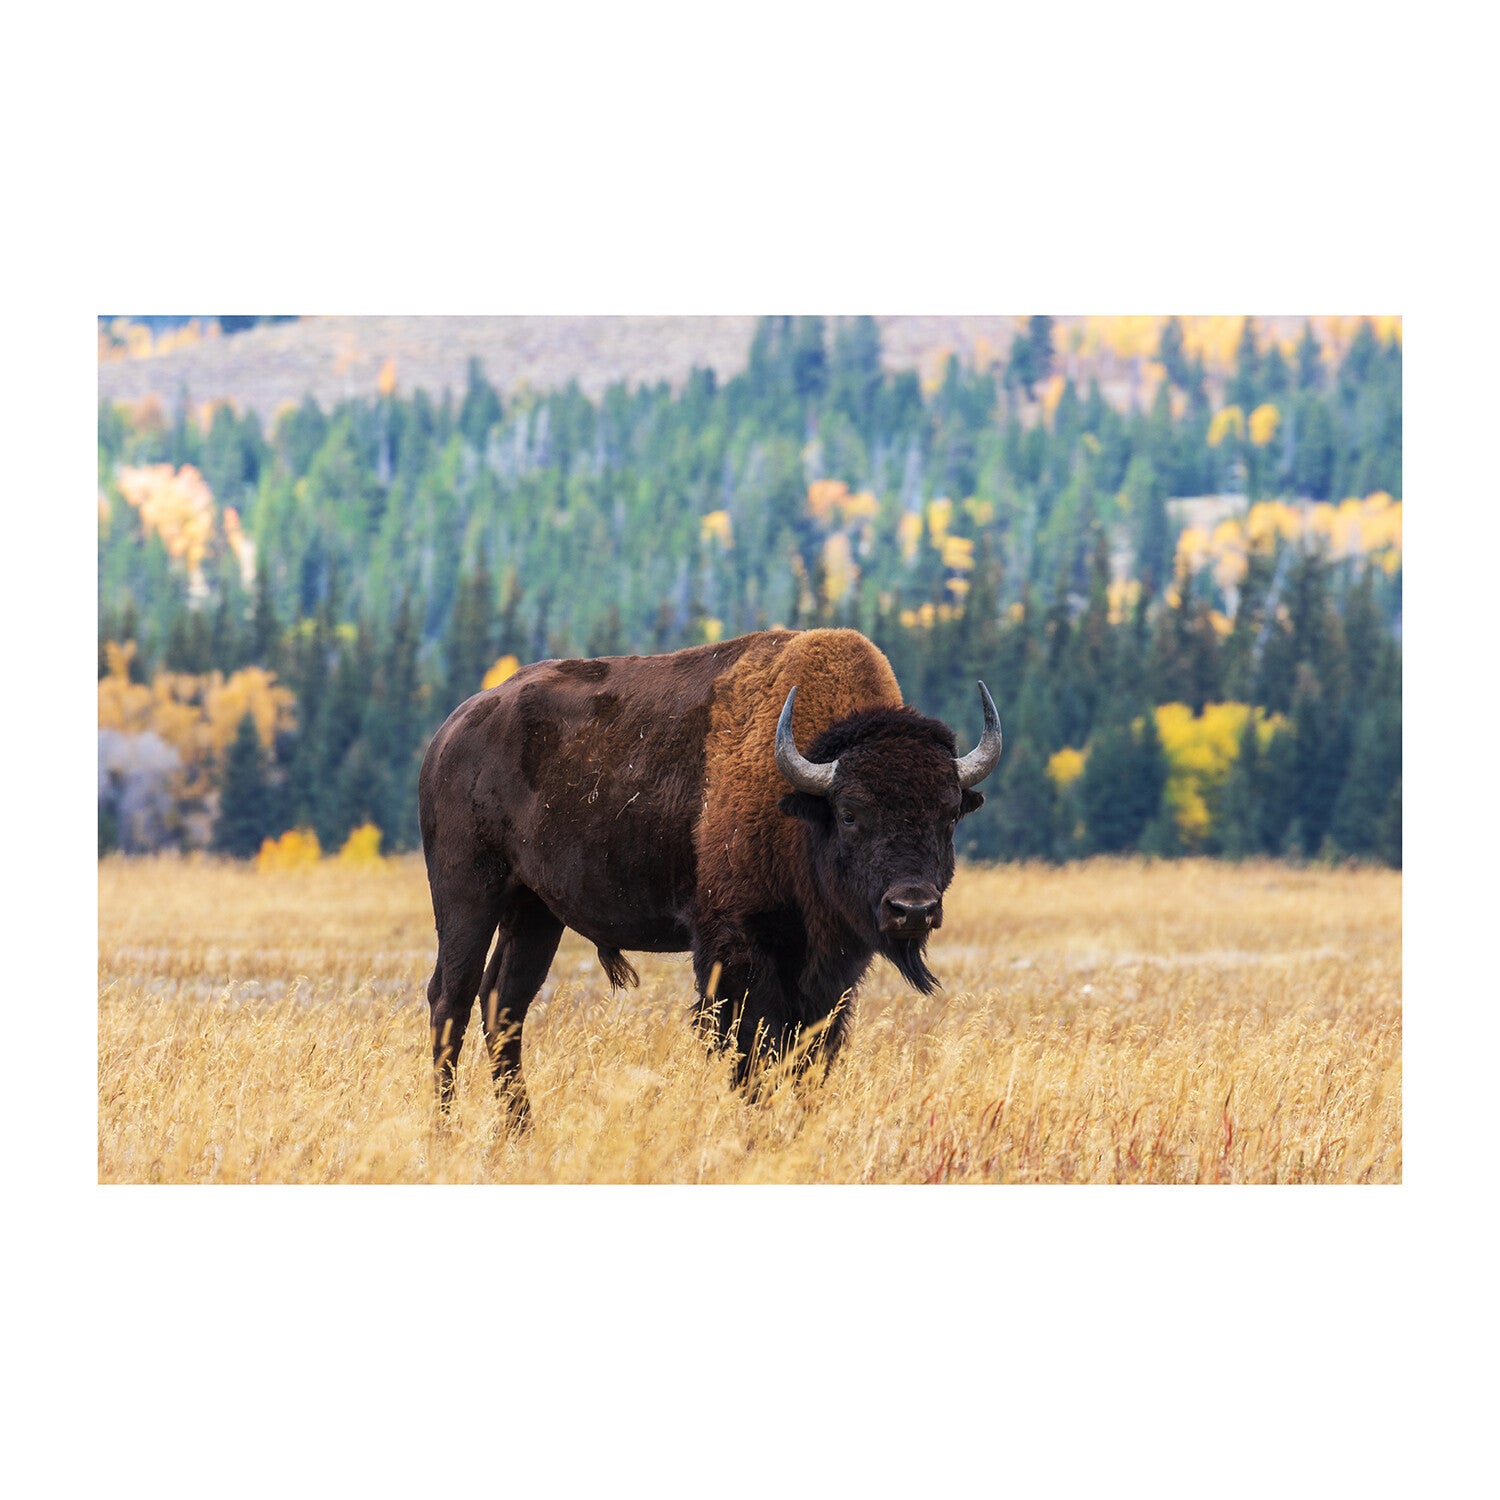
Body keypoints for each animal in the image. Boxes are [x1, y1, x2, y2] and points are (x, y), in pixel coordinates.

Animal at [418, 627, 1001, 1114]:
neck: (803, 802)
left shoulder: (830, 970)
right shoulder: (737, 950)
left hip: (535, 910)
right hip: (468, 895)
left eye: (949, 814)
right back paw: (446, 1128)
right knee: (452, 999)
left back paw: (519, 1131)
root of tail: (449, 731)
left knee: (504, 1004)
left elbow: (810, 1052)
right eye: (851, 813)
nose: (912, 908)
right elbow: (752, 1052)